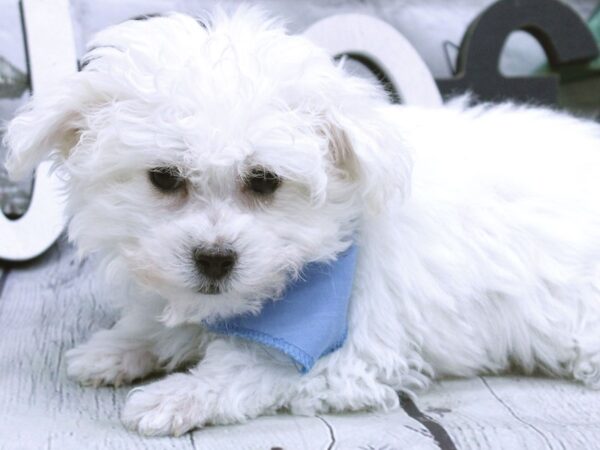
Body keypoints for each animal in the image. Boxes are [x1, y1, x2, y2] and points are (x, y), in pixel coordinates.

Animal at [4, 6, 600, 436]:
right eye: (165, 178)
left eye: (265, 180)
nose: (215, 260)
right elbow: (163, 320)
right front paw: (118, 347)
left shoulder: (344, 354)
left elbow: (249, 366)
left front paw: (177, 395)